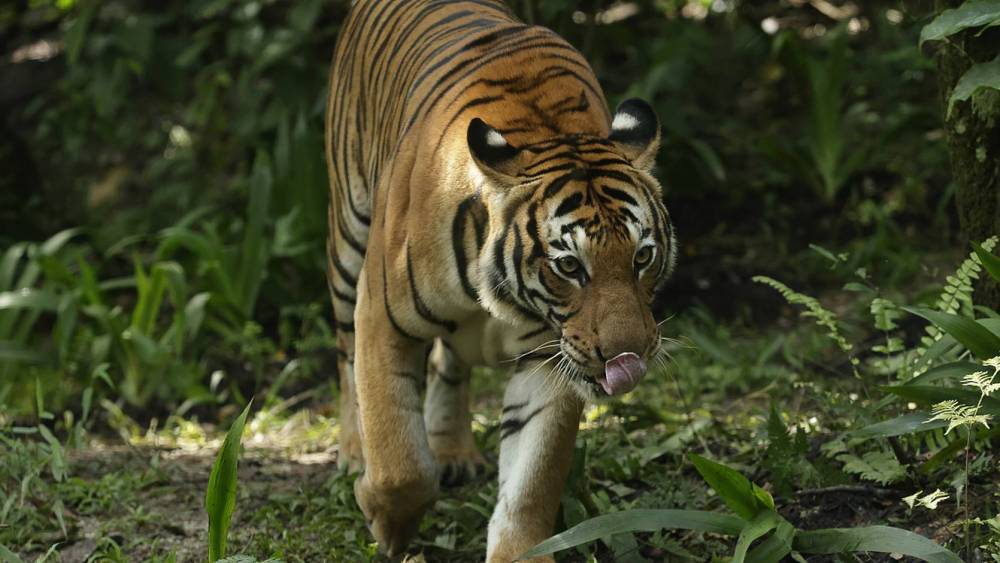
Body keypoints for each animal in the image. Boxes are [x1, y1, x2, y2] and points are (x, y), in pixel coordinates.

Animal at [324, 1, 676, 560]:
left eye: (642, 257)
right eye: (569, 266)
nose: (629, 356)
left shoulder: (549, 357)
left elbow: (531, 481)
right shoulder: (381, 316)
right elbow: (399, 454)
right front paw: (386, 521)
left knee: (448, 362)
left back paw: (452, 450)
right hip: (348, 240)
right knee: (344, 357)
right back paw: (355, 454)